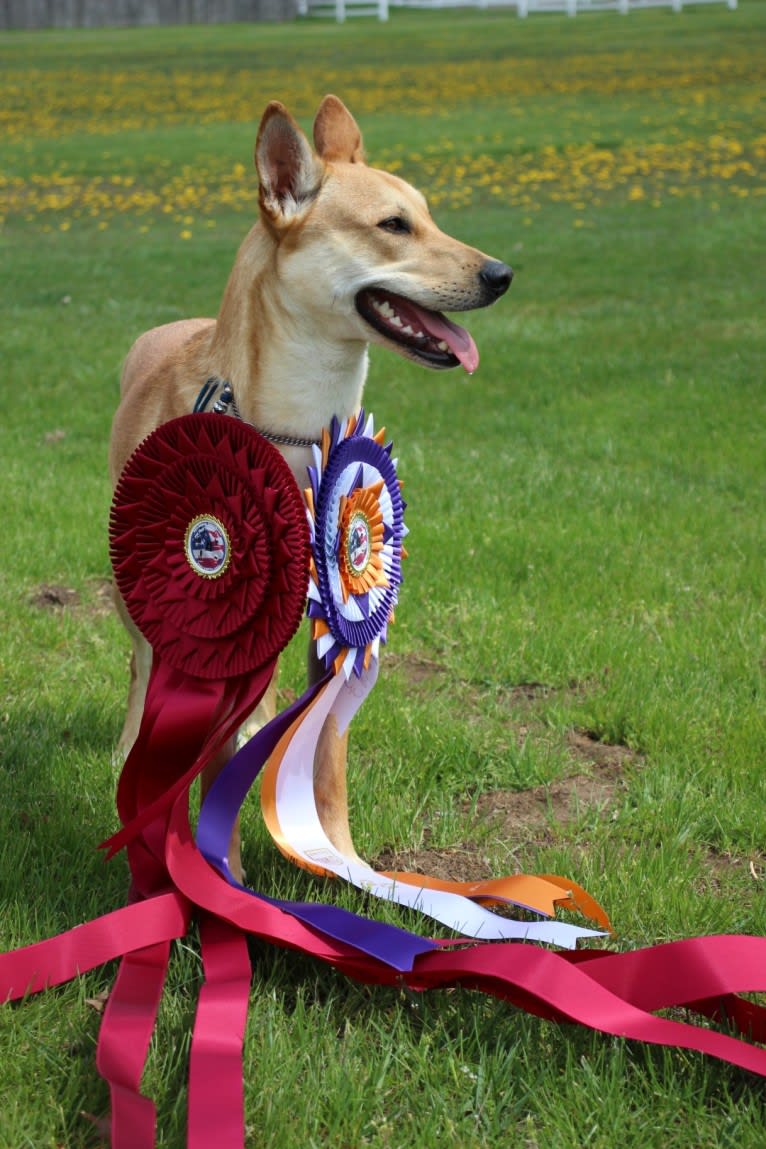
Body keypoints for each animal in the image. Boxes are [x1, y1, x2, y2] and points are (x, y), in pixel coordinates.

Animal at [107, 94, 512, 877]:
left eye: (429, 215)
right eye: (393, 226)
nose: (502, 274)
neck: (294, 433)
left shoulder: (341, 621)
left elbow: (325, 756)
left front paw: (338, 861)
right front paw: (222, 883)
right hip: (133, 586)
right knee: (142, 671)